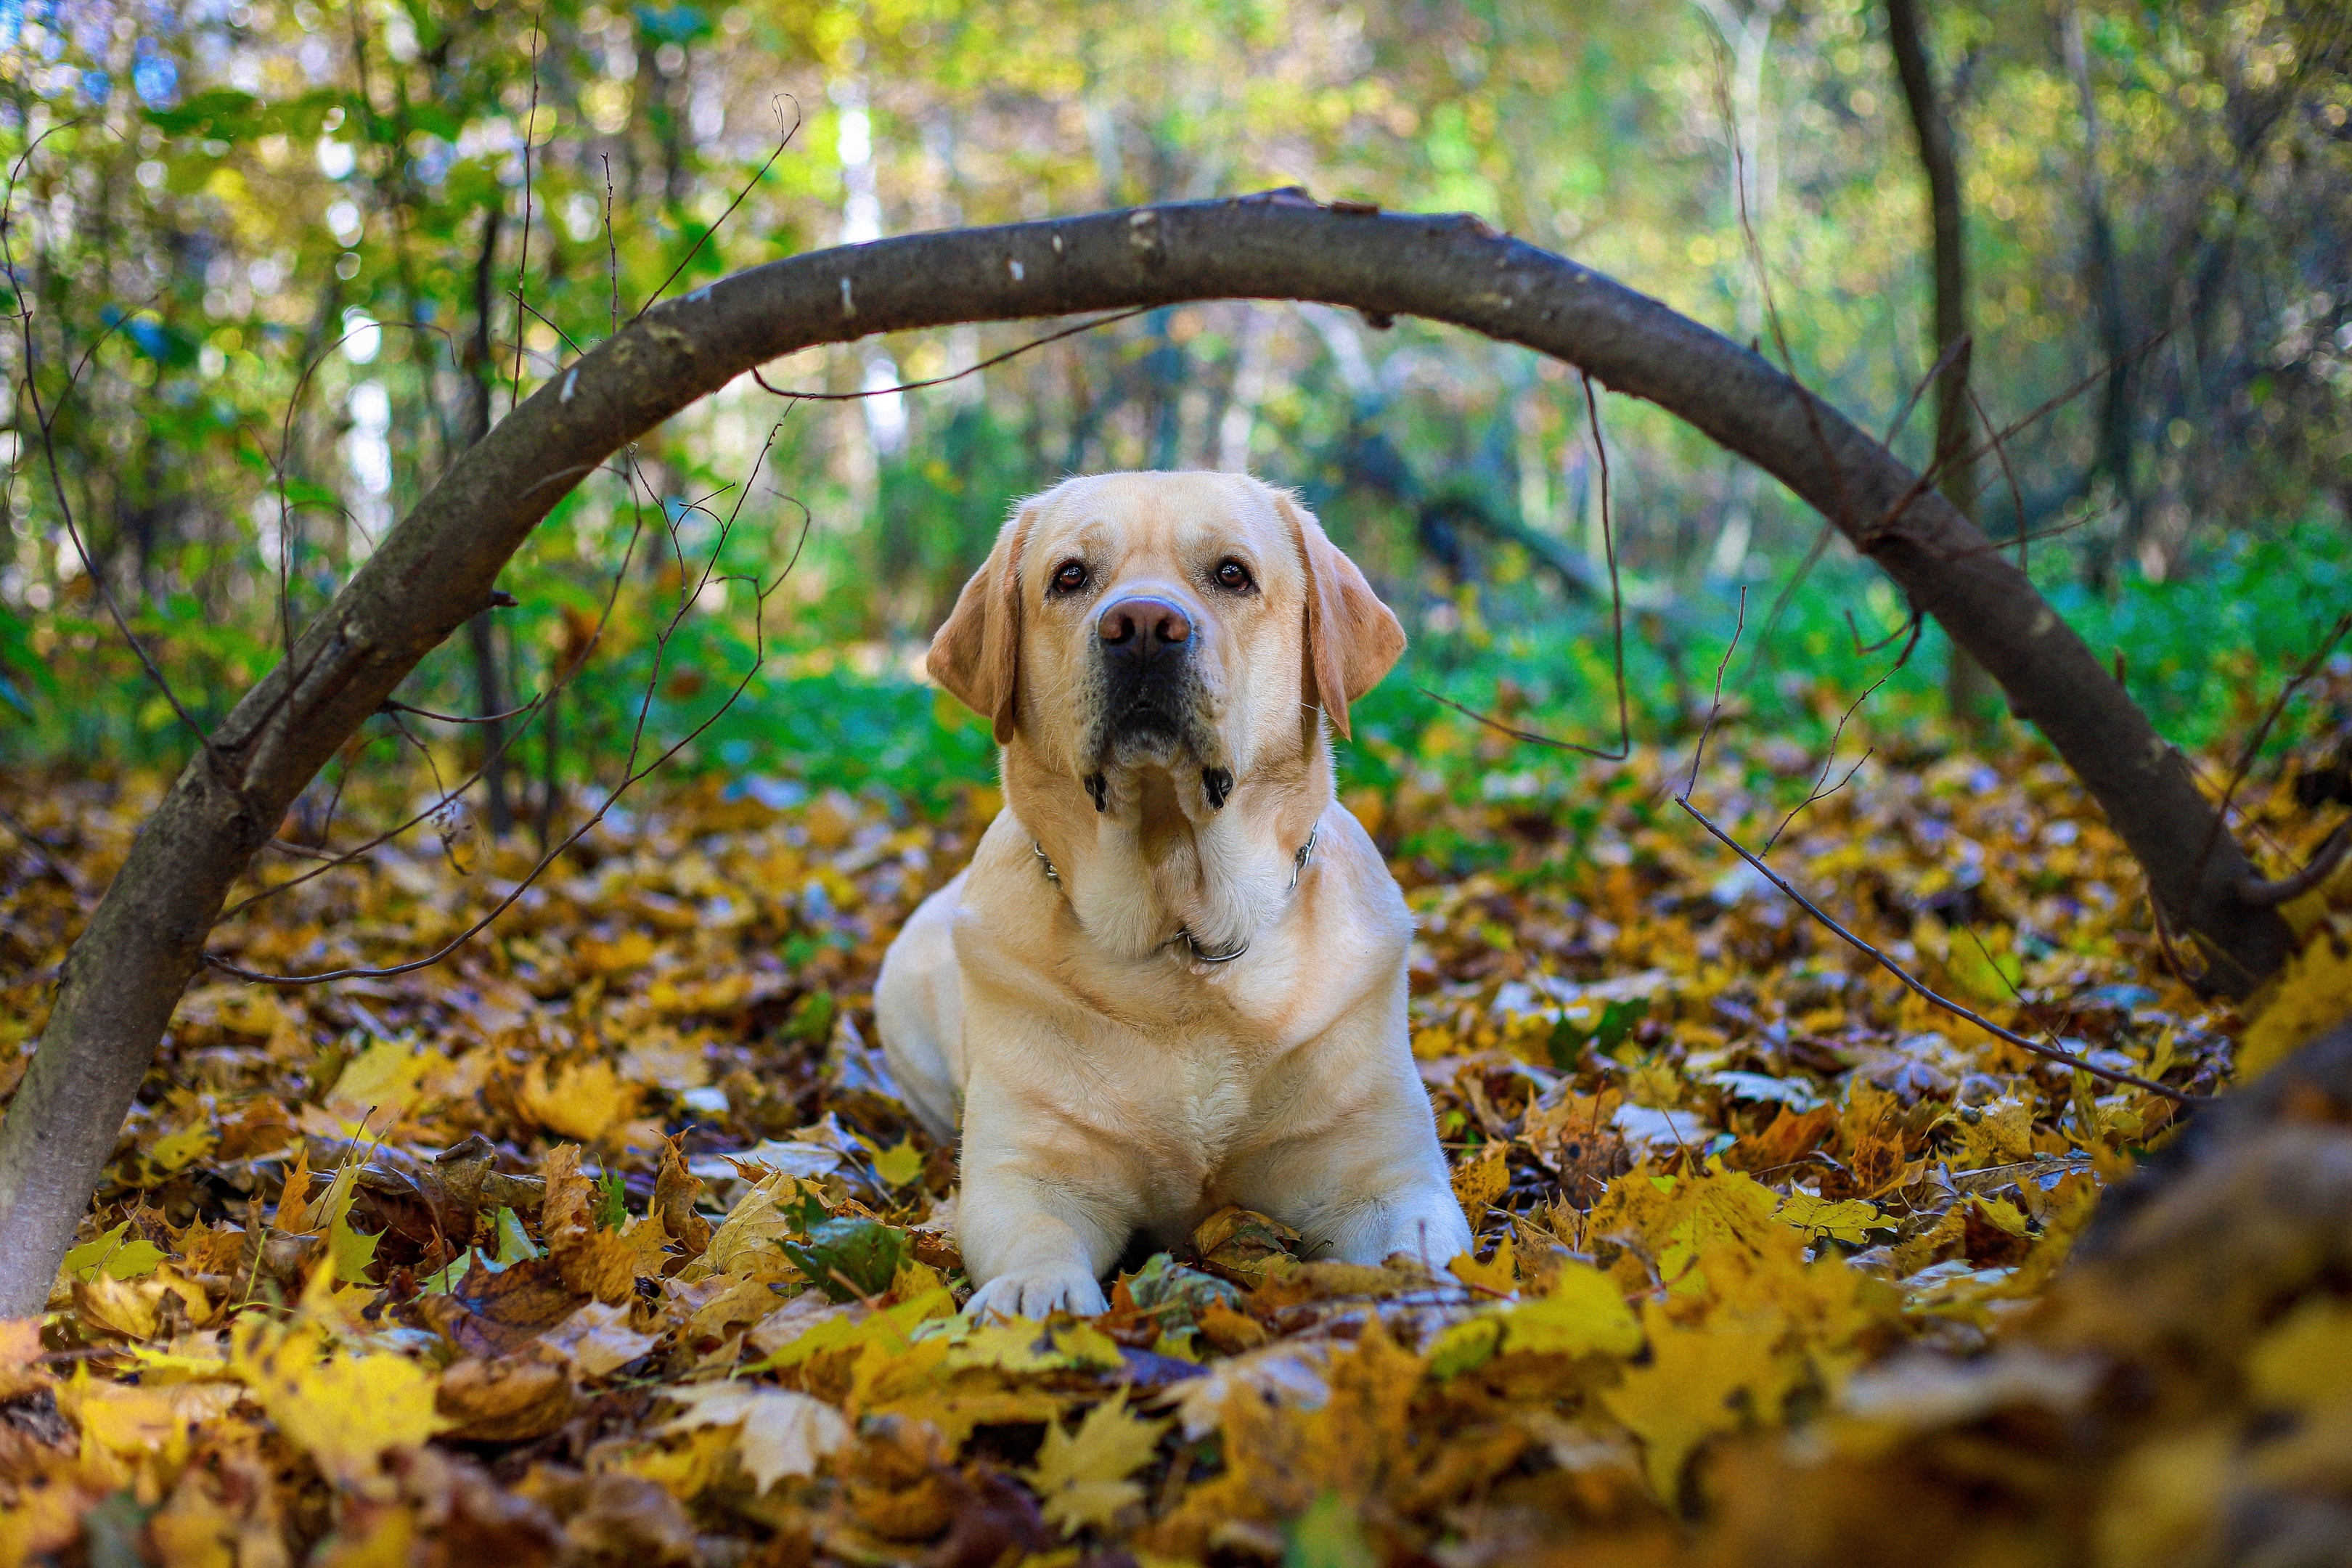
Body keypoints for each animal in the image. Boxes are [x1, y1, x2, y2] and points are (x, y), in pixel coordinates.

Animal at [884, 472, 1467, 1316]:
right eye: (1070, 577)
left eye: (1232, 574)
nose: (1142, 627)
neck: (1184, 929)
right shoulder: (1025, 1172)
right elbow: (1035, 1233)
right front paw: (1037, 1298)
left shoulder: (1382, 1169)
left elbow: (1416, 1248)